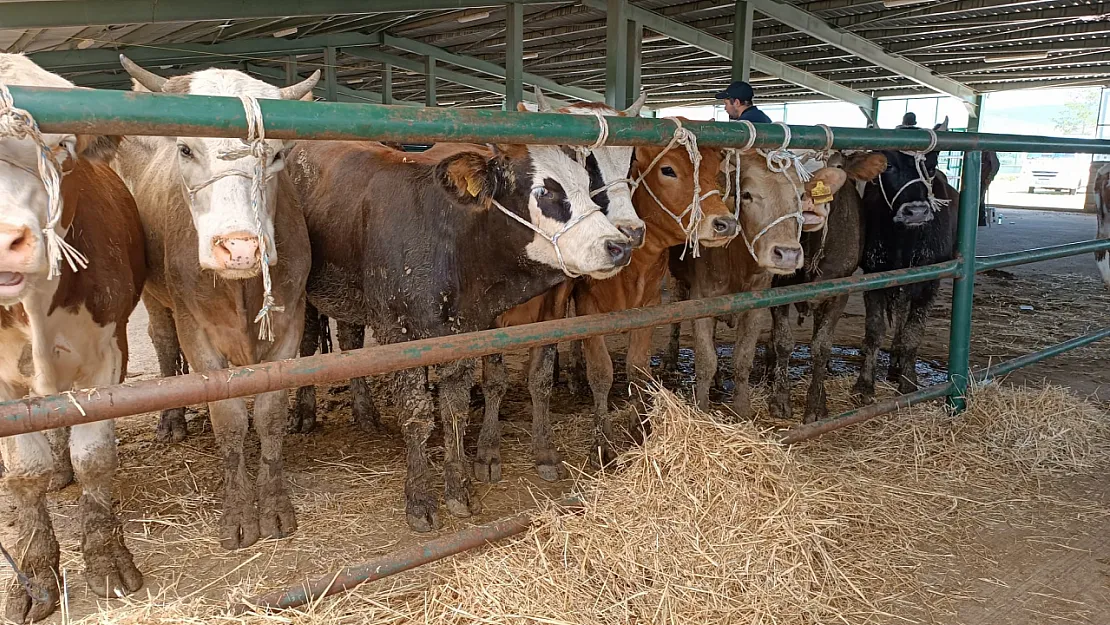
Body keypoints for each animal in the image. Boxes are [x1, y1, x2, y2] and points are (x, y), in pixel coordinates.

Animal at [0, 54, 145, 625]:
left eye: (61, 145)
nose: (7, 238)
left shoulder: (108, 353)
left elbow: (95, 459)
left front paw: (107, 560)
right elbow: (24, 472)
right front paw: (35, 575)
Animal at [114, 56, 317, 550]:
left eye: (276, 155)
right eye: (186, 149)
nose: (240, 247)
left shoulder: (289, 322)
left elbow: (269, 415)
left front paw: (275, 505)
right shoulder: (198, 331)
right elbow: (229, 419)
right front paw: (239, 513)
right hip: (155, 297)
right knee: (163, 343)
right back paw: (172, 420)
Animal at [286, 138, 634, 532]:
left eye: (587, 184)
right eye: (545, 191)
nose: (619, 245)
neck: (451, 242)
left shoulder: (462, 333)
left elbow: (454, 410)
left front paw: (458, 490)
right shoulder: (398, 334)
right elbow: (418, 416)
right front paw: (419, 501)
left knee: (349, 337)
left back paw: (365, 413)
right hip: (307, 294)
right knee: (309, 342)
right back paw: (304, 413)